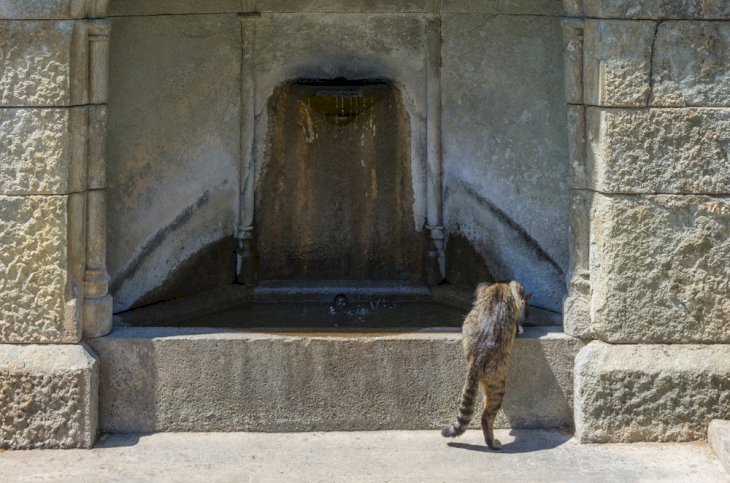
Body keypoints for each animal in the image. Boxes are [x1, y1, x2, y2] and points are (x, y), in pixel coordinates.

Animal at [438, 282, 528, 452]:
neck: (500, 286)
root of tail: (479, 353)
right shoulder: (515, 294)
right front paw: (520, 326)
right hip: (497, 382)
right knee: (486, 417)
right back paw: (491, 442)